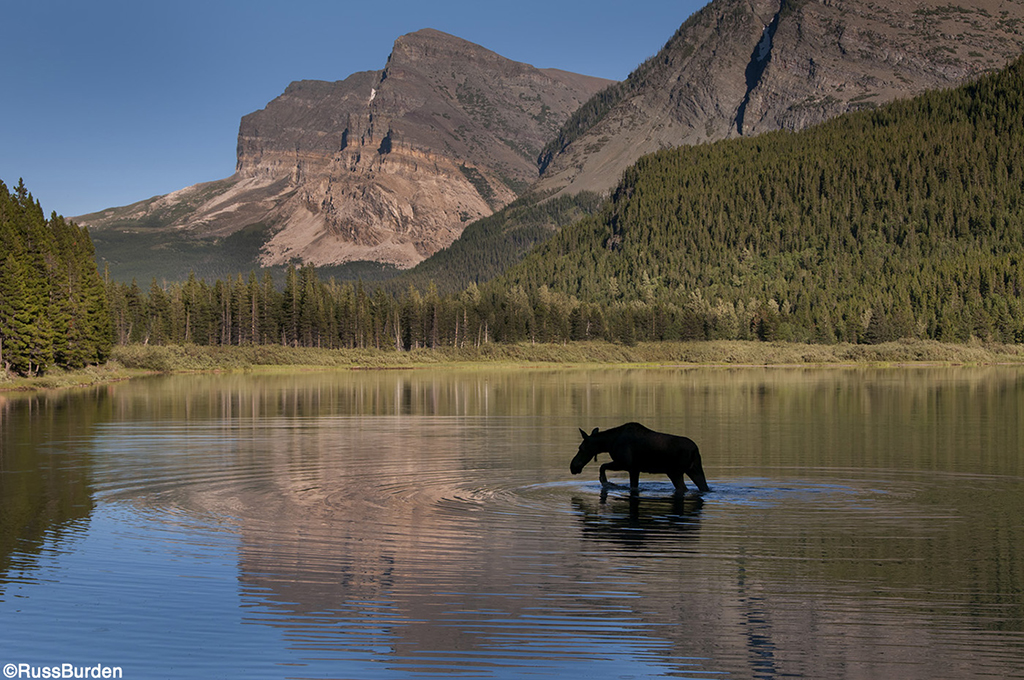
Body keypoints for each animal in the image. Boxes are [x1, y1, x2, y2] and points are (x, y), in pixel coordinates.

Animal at [573, 421, 708, 491]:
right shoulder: (634, 469)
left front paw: (606, 481)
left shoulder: (624, 463)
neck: (608, 443)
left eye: (581, 448)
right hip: (695, 470)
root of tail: (695, 450)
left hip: (675, 472)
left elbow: (602, 466)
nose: (573, 466)